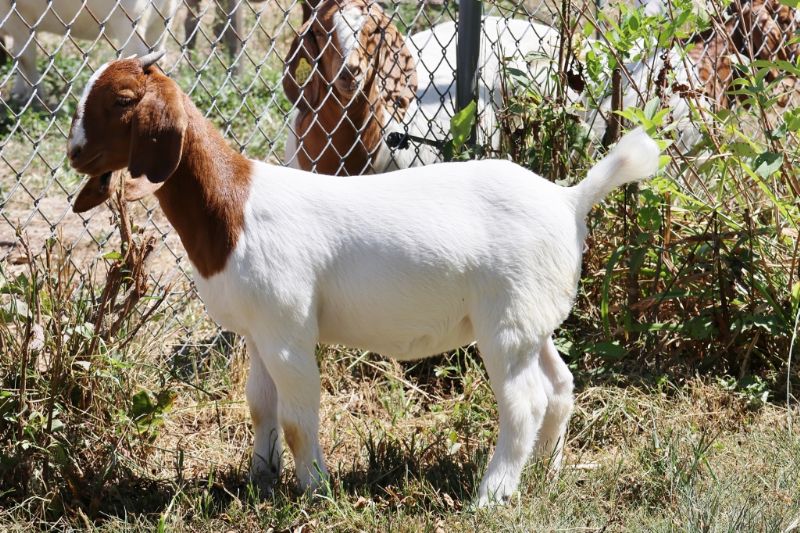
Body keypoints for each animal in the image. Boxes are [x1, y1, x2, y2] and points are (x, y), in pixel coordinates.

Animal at [0, 0, 177, 103]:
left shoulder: (18, 20)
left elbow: (25, 58)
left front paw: (35, 97)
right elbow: (20, 58)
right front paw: (18, 91)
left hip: (128, 21)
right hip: (163, 18)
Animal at [66, 53, 661, 505]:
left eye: (122, 99)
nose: (74, 153)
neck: (234, 205)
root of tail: (569, 199)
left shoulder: (287, 329)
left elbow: (298, 415)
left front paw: (315, 490)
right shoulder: (257, 332)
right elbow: (261, 404)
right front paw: (261, 480)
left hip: (507, 323)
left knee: (525, 402)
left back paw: (492, 494)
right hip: (532, 317)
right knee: (559, 386)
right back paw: (543, 471)